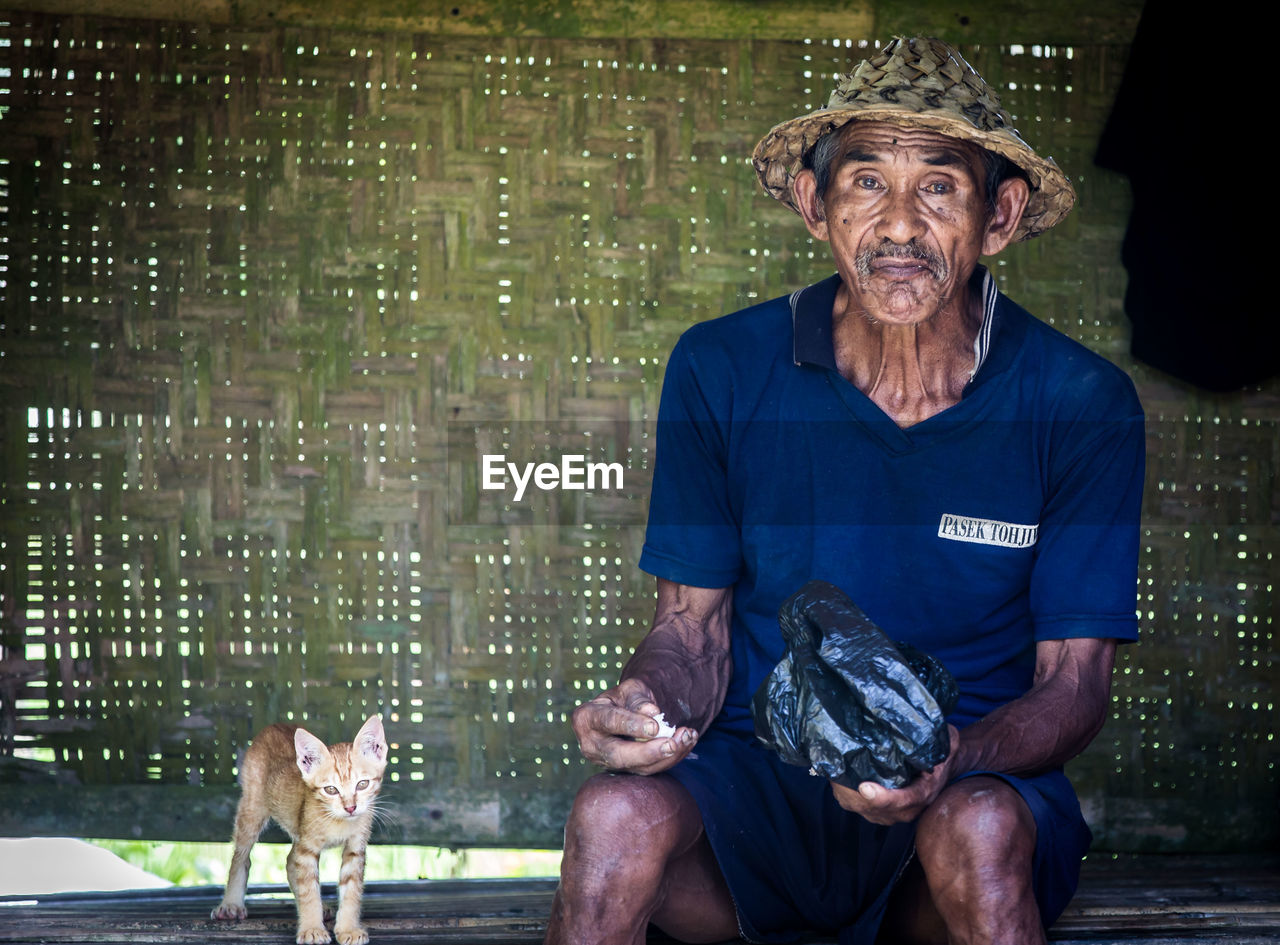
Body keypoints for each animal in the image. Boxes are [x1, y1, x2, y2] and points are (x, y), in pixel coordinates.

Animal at [211, 711, 384, 942]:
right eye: (331, 789)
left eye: (362, 784)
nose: (350, 807)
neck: (338, 822)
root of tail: (274, 725)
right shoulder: (307, 846)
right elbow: (308, 890)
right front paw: (312, 929)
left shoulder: (355, 848)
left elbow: (351, 890)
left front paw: (348, 929)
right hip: (252, 809)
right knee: (241, 857)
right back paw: (231, 904)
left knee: (289, 860)